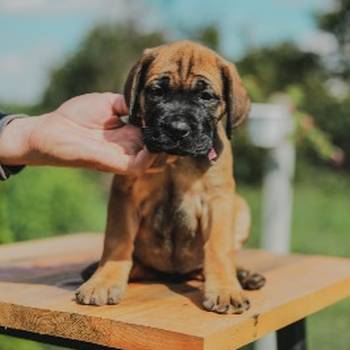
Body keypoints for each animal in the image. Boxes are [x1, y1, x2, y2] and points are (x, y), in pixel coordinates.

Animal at [76, 41, 262, 314]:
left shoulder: (218, 201)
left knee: (205, 267)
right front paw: (104, 281)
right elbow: (117, 242)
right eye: (157, 91)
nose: (177, 129)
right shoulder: (125, 196)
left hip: (241, 207)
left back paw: (244, 275)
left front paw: (226, 289)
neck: (175, 159)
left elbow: (218, 247)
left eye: (206, 97)